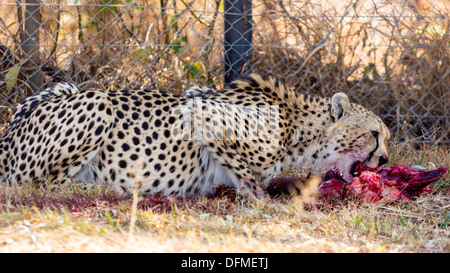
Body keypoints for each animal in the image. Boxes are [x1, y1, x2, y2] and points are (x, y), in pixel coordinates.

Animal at [0, 73, 388, 199]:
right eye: (375, 135)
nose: (385, 159)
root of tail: (7, 135)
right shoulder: (204, 112)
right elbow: (248, 177)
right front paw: (262, 201)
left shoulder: (197, 92)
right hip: (97, 102)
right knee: (40, 184)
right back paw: (110, 189)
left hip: (64, 87)